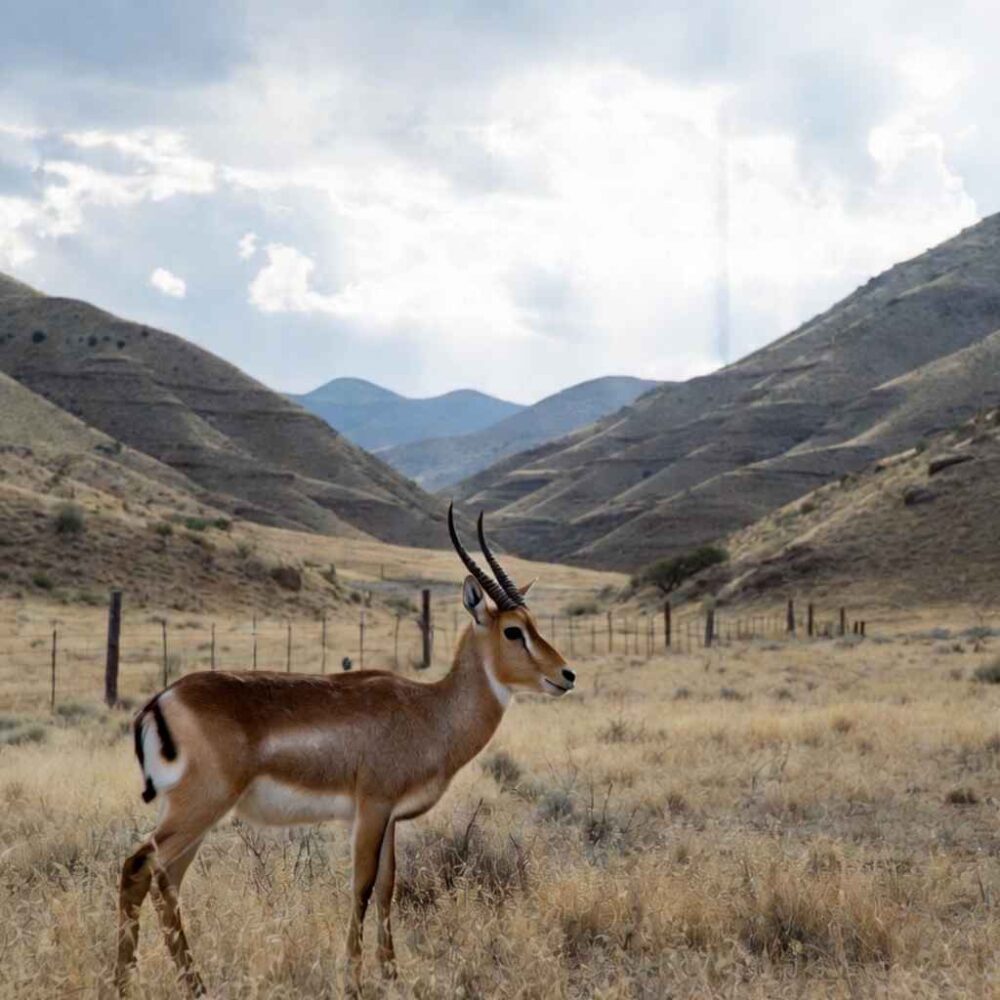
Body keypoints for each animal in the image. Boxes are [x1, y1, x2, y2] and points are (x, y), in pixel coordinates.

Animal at [115, 505, 575, 997]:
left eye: (534, 624)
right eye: (513, 631)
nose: (566, 675)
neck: (429, 710)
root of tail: (161, 700)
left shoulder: (390, 817)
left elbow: (389, 886)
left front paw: (392, 976)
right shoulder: (371, 808)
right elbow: (363, 887)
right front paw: (352, 982)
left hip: (193, 817)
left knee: (165, 881)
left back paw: (188, 983)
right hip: (200, 808)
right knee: (138, 866)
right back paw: (126, 983)